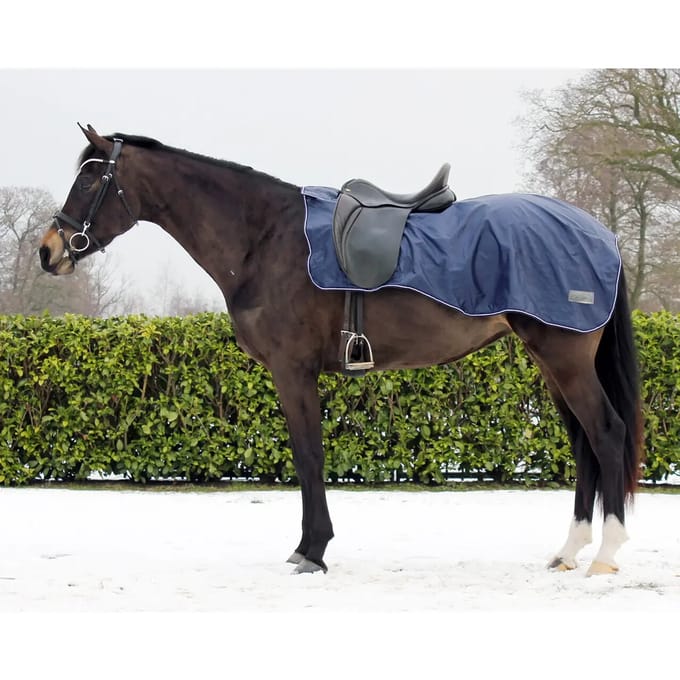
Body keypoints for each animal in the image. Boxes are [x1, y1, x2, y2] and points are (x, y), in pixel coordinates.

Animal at [39, 124, 643, 576]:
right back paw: (569, 551)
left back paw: (607, 554)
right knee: (584, 443)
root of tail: (600, 235)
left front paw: (312, 551)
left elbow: (309, 455)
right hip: (551, 363)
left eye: (90, 178)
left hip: (564, 358)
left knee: (606, 434)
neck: (265, 239)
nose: (49, 251)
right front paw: (310, 547)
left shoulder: (292, 371)